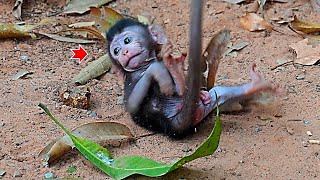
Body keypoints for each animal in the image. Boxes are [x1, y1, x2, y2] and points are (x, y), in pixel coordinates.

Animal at [107, 18, 282, 137]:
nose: (123, 53)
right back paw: (175, 72)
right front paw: (159, 70)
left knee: (218, 93)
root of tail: (172, 124)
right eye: (115, 51)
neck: (144, 64)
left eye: (127, 40)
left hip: (206, 107)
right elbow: (132, 105)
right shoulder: (132, 78)